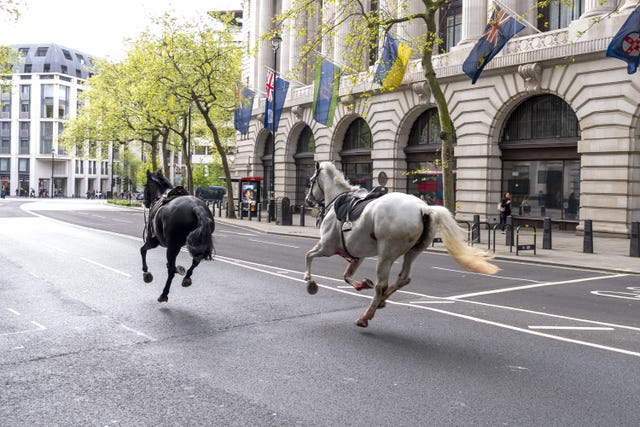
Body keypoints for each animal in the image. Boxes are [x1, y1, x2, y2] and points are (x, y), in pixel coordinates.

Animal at [140, 171, 215, 304]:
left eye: (145, 185)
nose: (145, 202)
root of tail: (196, 207)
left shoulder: (153, 241)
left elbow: (142, 250)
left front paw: (146, 272)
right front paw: (179, 269)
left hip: (172, 247)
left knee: (170, 271)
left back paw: (164, 294)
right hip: (195, 244)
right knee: (195, 261)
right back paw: (186, 278)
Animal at [304, 162, 500, 330]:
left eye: (311, 181)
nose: (307, 201)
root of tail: (424, 208)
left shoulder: (326, 247)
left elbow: (309, 255)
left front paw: (310, 282)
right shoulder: (357, 254)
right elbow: (346, 275)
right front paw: (361, 284)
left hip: (386, 254)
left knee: (382, 285)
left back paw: (365, 316)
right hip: (413, 251)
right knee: (403, 278)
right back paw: (381, 301)